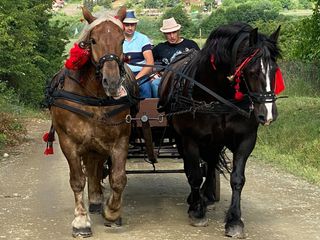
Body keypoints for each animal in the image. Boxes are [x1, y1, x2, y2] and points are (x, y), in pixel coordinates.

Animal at [46, 6, 138, 237]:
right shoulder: (68, 142)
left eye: (122, 40)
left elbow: (118, 179)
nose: (112, 82)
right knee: (91, 166)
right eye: (93, 40)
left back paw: (98, 200)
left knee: (95, 164)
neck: (93, 95)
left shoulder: (120, 140)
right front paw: (81, 221)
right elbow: (77, 180)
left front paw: (112, 213)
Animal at [159, 23, 282, 238]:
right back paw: (196, 200)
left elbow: (237, 179)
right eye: (252, 71)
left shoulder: (246, 139)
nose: (267, 114)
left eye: (274, 70)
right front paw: (197, 212)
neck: (217, 96)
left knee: (211, 162)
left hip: (214, 141)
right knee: (193, 168)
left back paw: (207, 195)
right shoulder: (190, 139)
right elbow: (194, 174)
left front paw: (234, 221)